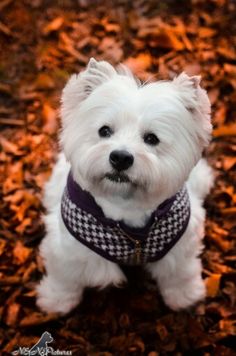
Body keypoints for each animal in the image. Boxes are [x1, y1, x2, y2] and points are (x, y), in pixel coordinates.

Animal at [37, 58, 214, 314]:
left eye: (151, 138)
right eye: (104, 131)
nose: (120, 157)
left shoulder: (181, 246)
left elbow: (180, 273)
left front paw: (185, 297)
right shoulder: (66, 248)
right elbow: (64, 276)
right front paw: (56, 301)